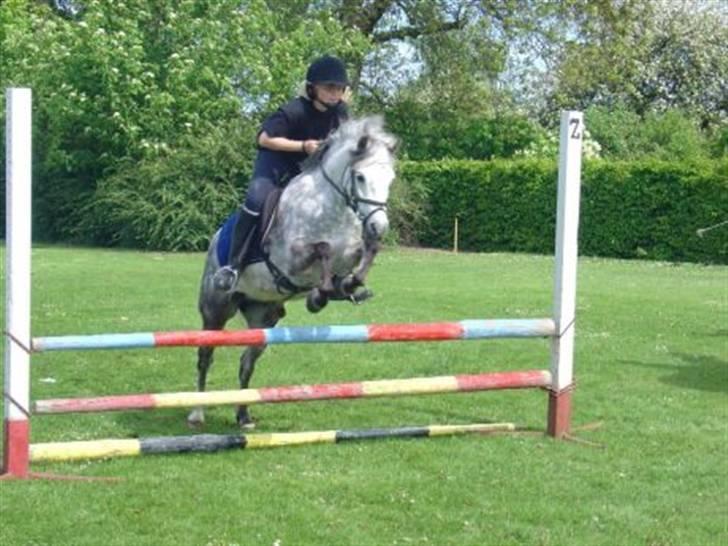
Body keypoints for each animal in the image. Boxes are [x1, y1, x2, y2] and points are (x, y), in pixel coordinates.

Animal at [188, 116, 398, 428]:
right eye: (360, 177)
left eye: (390, 180)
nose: (379, 226)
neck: (332, 209)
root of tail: (215, 242)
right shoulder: (289, 262)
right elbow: (322, 249)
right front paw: (320, 296)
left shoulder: (351, 252)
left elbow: (363, 254)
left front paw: (346, 287)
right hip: (216, 309)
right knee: (205, 356)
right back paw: (197, 412)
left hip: (264, 317)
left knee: (246, 363)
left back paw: (243, 416)